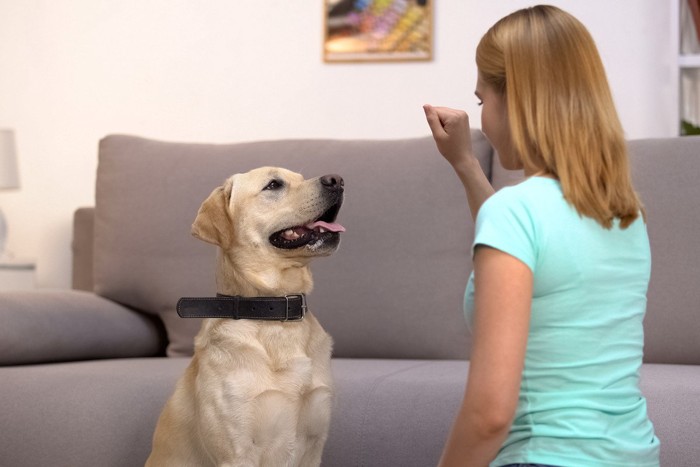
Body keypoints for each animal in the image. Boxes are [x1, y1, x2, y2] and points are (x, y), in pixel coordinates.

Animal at [147, 168, 344, 467]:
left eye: (300, 177)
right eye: (273, 185)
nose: (337, 180)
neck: (274, 315)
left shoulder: (314, 445)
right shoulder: (237, 452)